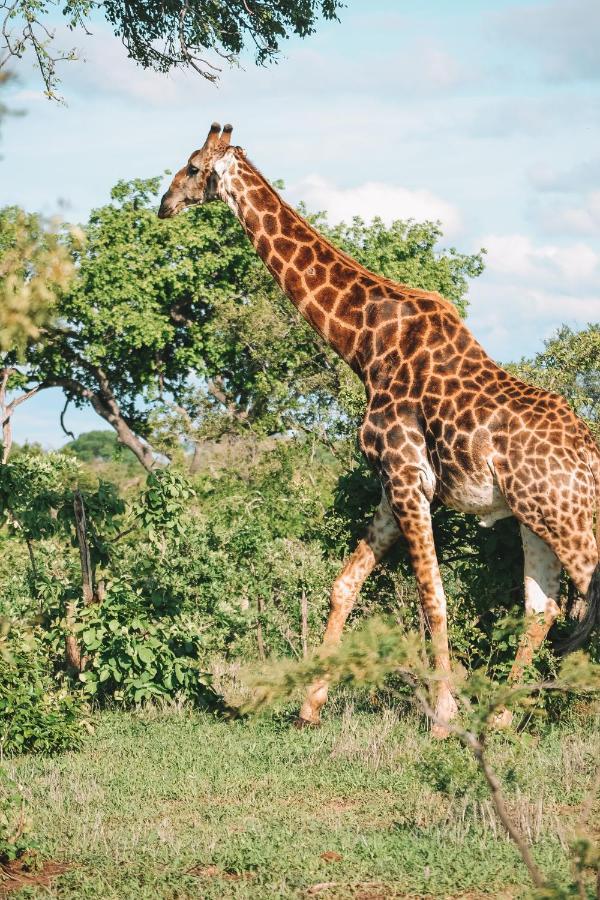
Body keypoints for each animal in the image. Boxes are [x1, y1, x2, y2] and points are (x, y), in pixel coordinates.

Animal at [158, 123, 600, 736]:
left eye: (194, 167)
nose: (164, 204)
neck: (365, 345)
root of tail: (591, 459)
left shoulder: (409, 478)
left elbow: (432, 598)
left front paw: (443, 716)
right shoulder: (395, 485)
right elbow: (345, 585)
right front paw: (309, 707)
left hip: (566, 518)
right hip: (536, 517)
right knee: (543, 608)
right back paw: (504, 714)